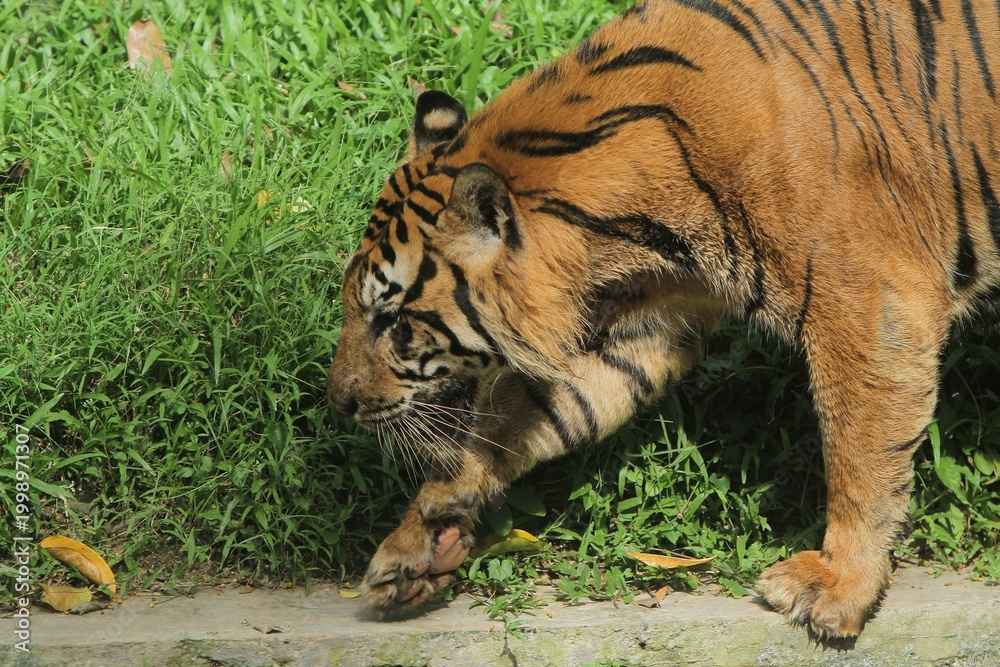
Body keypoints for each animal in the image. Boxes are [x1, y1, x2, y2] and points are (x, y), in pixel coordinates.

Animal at [327, 0, 1000, 638]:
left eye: (392, 319)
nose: (339, 403)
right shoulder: (644, 323)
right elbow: (529, 417)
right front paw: (422, 539)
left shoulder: (871, 298)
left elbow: (858, 453)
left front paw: (838, 585)